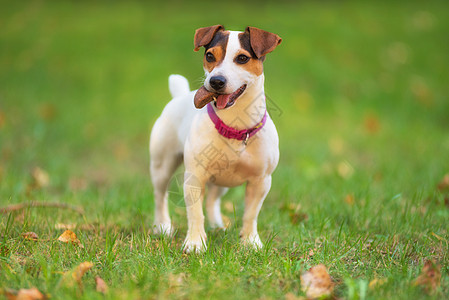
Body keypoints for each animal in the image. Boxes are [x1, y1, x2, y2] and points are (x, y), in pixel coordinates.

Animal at [151, 24, 284, 252]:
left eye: (242, 58)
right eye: (210, 56)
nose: (216, 81)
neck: (235, 128)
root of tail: (180, 95)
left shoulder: (261, 181)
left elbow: (251, 214)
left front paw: (250, 241)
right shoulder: (194, 178)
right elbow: (195, 213)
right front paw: (195, 243)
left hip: (222, 181)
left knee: (213, 199)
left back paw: (216, 226)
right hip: (162, 165)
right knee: (161, 195)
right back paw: (163, 226)